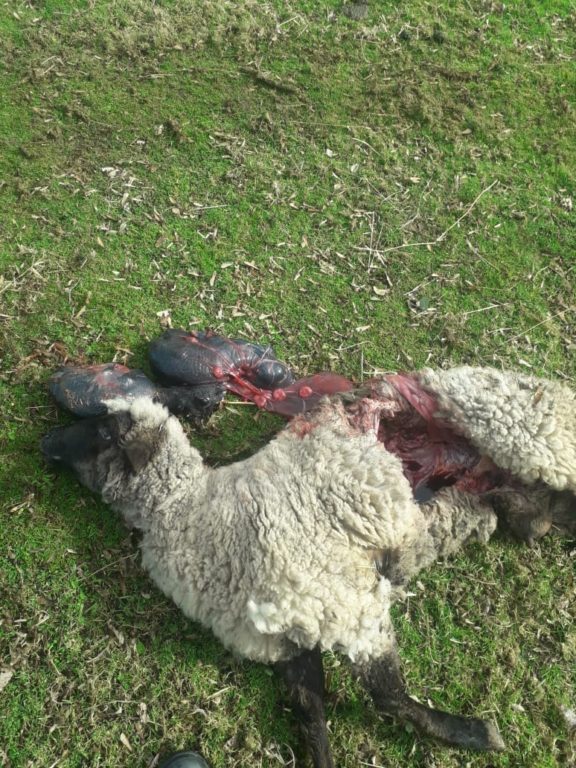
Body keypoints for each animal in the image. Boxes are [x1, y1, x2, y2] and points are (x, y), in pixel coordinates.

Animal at [41, 366, 576, 766]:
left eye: (102, 430)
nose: (46, 442)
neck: (185, 508)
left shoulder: (349, 606)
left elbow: (388, 696)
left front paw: (477, 734)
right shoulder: (288, 640)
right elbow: (313, 716)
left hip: (532, 437)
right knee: (528, 512)